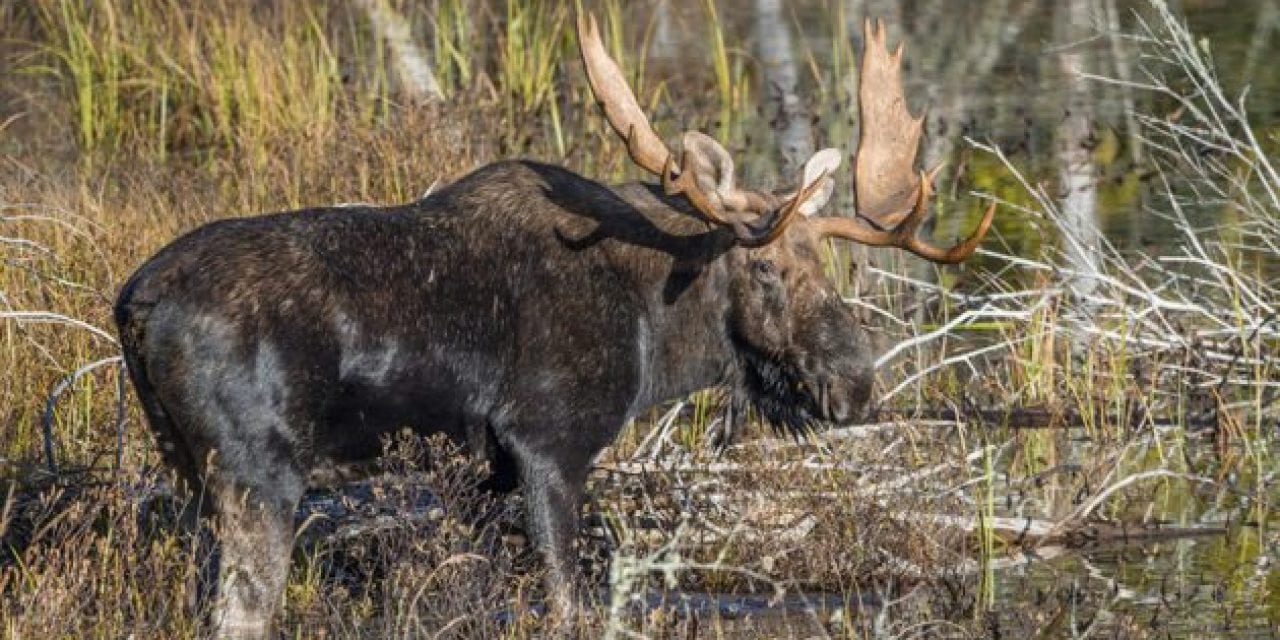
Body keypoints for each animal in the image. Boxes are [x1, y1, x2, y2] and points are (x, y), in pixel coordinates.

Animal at [115, 12, 993, 637]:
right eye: (771, 268)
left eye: (831, 267)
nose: (855, 382)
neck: (657, 329)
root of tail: (134, 304)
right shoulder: (548, 445)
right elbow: (573, 604)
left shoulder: (482, 477)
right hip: (258, 475)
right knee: (241, 613)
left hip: (187, 470)